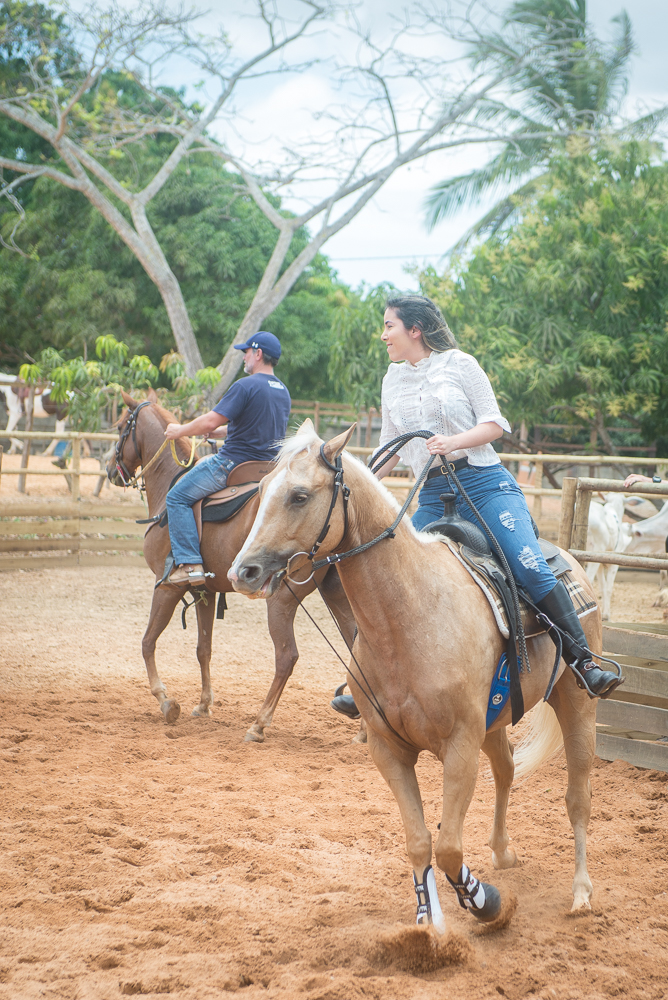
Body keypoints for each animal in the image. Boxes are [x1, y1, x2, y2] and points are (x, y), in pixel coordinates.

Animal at [228, 426, 600, 932]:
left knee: (577, 798)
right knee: (505, 770)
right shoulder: (390, 750)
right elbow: (421, 841)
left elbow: (449, 848)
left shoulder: (459, 746)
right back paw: (502, 852)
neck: (410, 617)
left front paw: (484, 902)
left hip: (576, 706)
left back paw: (581, 893)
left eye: (299, 496)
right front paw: (428, 920)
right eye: (263, 489)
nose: (242, 572)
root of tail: (568, 563)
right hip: (496, 720)